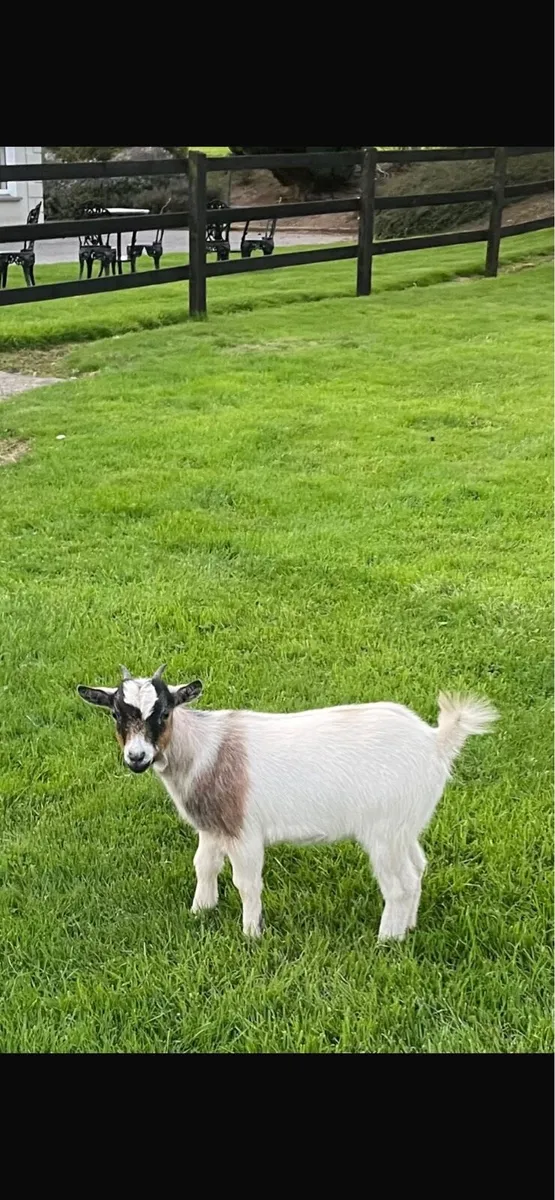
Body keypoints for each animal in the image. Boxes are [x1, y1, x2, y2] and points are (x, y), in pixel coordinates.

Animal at [78, 667, 498, 940]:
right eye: (115, 713)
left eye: (163, 713)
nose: (137, 757)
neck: (206, 749)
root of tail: (436, 741)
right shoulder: (213, 825)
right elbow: (203, 866)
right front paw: (200, 911)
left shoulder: (244, 831)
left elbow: (247, 883)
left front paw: (251, 934)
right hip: (405, 825)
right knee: (419, 866)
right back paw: (408, 926)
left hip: (384, 831)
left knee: (401, 883)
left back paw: (387, 940)